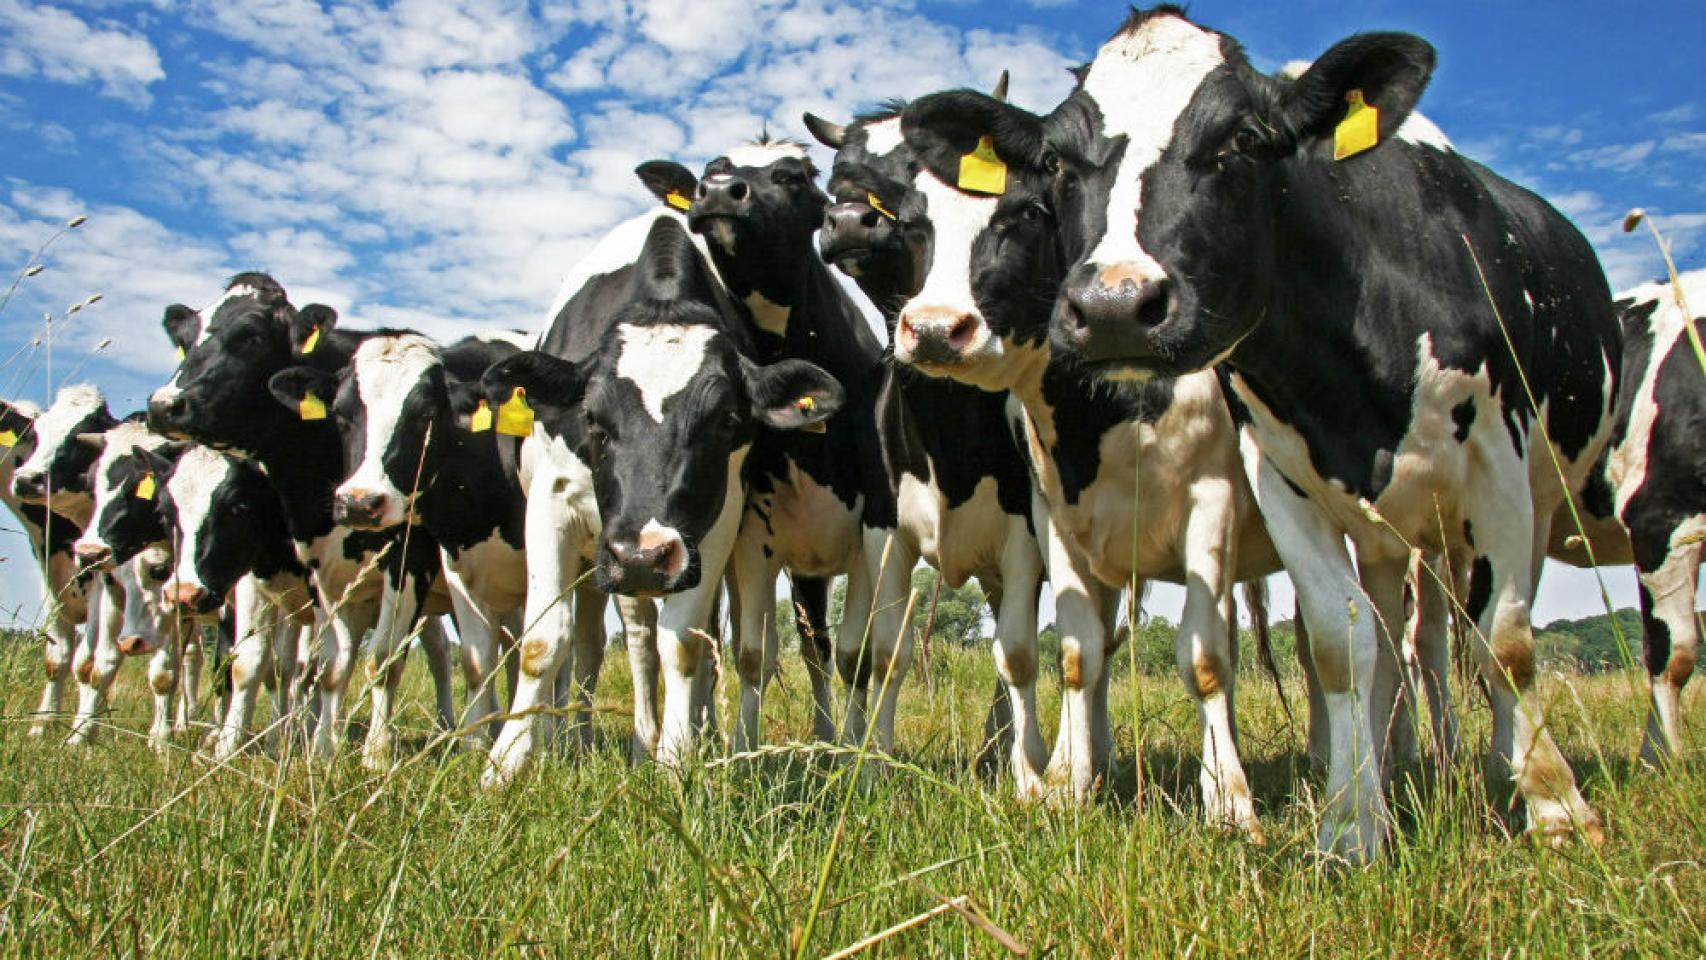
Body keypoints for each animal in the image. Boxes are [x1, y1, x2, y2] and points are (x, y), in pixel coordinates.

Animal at [147, 273, 457, 764]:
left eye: (251, 337)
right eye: (184, 340)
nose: (163, 406)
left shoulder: (409, 560)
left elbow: (380, 659)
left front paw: (374, 753)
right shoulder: (297, 572)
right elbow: (288, 663)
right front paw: (289, 747)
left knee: (442, 656)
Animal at [269, 330, 536, 750]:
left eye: (425, 414)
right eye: (341, 414)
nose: (359, 502)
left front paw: (375, 752)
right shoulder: (456, 566)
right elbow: (476, 661)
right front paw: (474, 747)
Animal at [479, 209, 842, 783]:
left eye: (726, 421)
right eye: (592, 419)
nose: (643, 555)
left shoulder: (716, 525)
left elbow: (686, 643)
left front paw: (675, 760)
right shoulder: (551, 504)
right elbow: (542, 641)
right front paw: (505, 763)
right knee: (623, 641)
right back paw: (608, 743)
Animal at [801, 104, 1054, 791]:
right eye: (838, 176)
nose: (848, 221)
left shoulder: (1025, 536)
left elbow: (1019, 654)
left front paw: (1029, 776)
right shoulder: (885, 530)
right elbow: (885, 651)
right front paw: (872, 768)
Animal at [1030, 8, 1618, 858]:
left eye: (1242, 140)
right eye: (1054, 159)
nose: (1114, 305)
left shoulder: (1496, 466)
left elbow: (1505, 641)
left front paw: (1556, 805)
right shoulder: (1281, 479)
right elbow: (1343, 650)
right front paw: (1351, 821)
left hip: (1523, 505)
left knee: (1459, 639)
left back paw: (1493, 760)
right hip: (1380, 535)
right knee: (1382, 642)